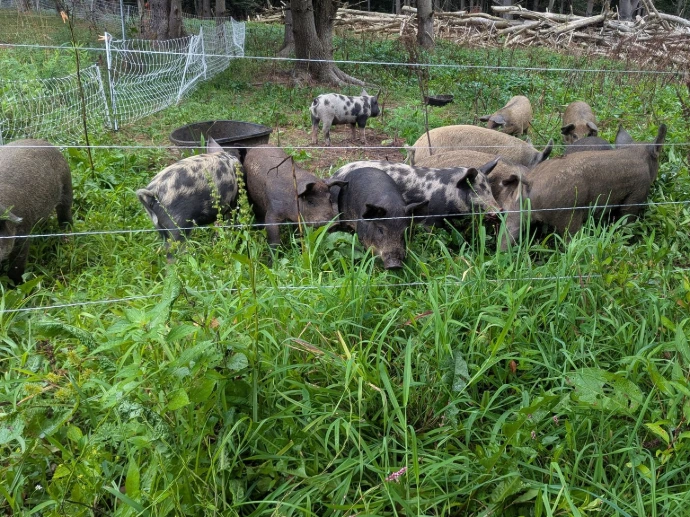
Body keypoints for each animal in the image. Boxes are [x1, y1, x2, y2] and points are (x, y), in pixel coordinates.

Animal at [0, 139, 73, 284]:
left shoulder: (23, 233)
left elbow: (18, 263)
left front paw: (16, 285)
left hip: (67, 184)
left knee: (65, 212)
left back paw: (67, 236)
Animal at [500, 124, 667, 249]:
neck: (638, 154)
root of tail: (530, 181)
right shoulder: (637, 195)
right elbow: (626, 221)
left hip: (515, 212)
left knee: (505, 239)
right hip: (568, 215)